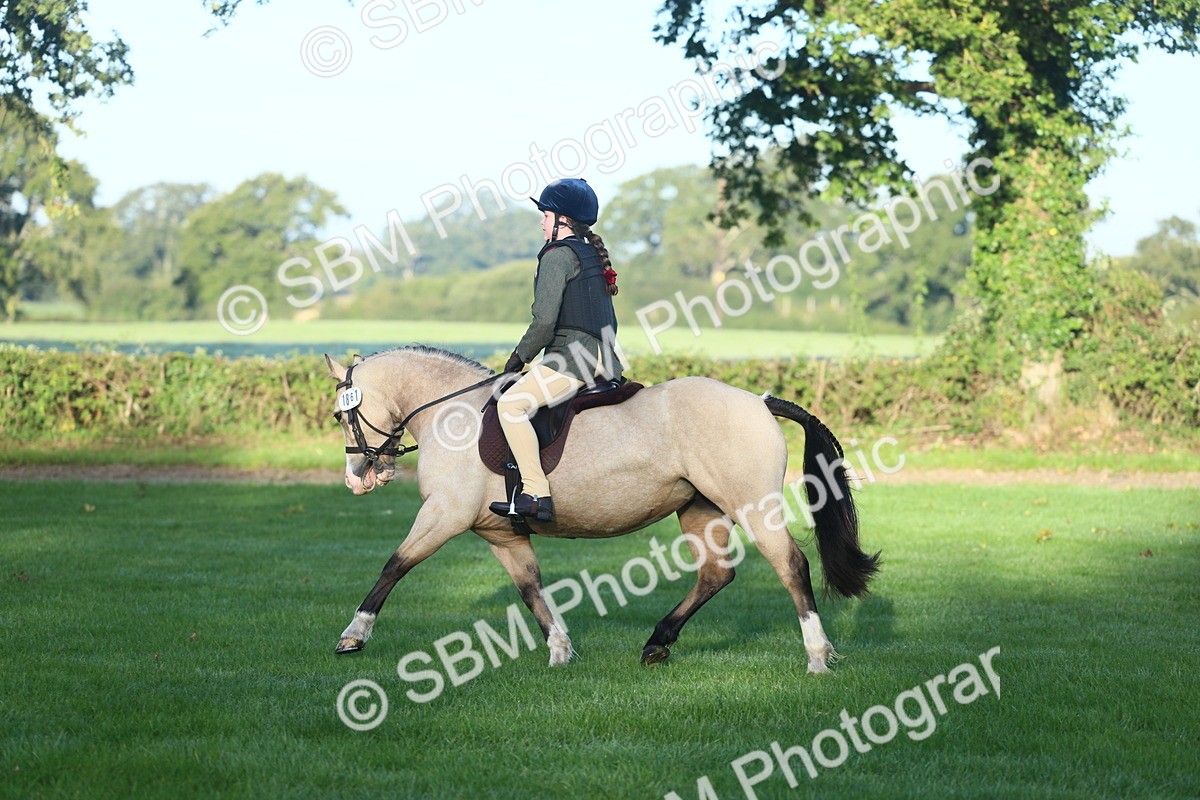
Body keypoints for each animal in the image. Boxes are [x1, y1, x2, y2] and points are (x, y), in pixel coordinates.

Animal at [326, 345, 879, 673]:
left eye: (339, 414)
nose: (357, 478)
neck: (451, 413)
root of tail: (758, 400)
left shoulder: (444, 515)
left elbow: (395, 565)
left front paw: (353, 636)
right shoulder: (502, 533)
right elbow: (531, 589)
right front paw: (559, 650)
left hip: (750, 506)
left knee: (791, 566)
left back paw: (817, 655)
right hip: (699, 510)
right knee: (716, 575)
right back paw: (657, 642)